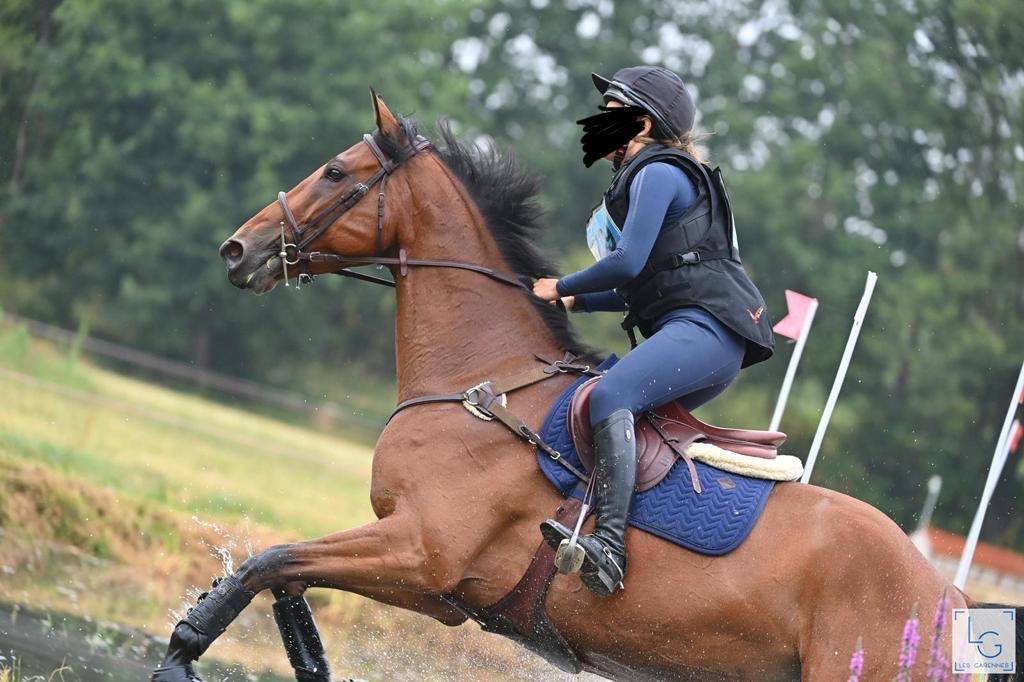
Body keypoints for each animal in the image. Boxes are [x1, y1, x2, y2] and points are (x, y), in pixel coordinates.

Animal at [152, 91, 1020, 681]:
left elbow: (270, 560)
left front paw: (184, 648)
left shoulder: (421, 555)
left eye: (336, 170)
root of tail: (950, 600)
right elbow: (284, 575)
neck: (483, 381)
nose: (237, 249)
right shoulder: (432, 585)